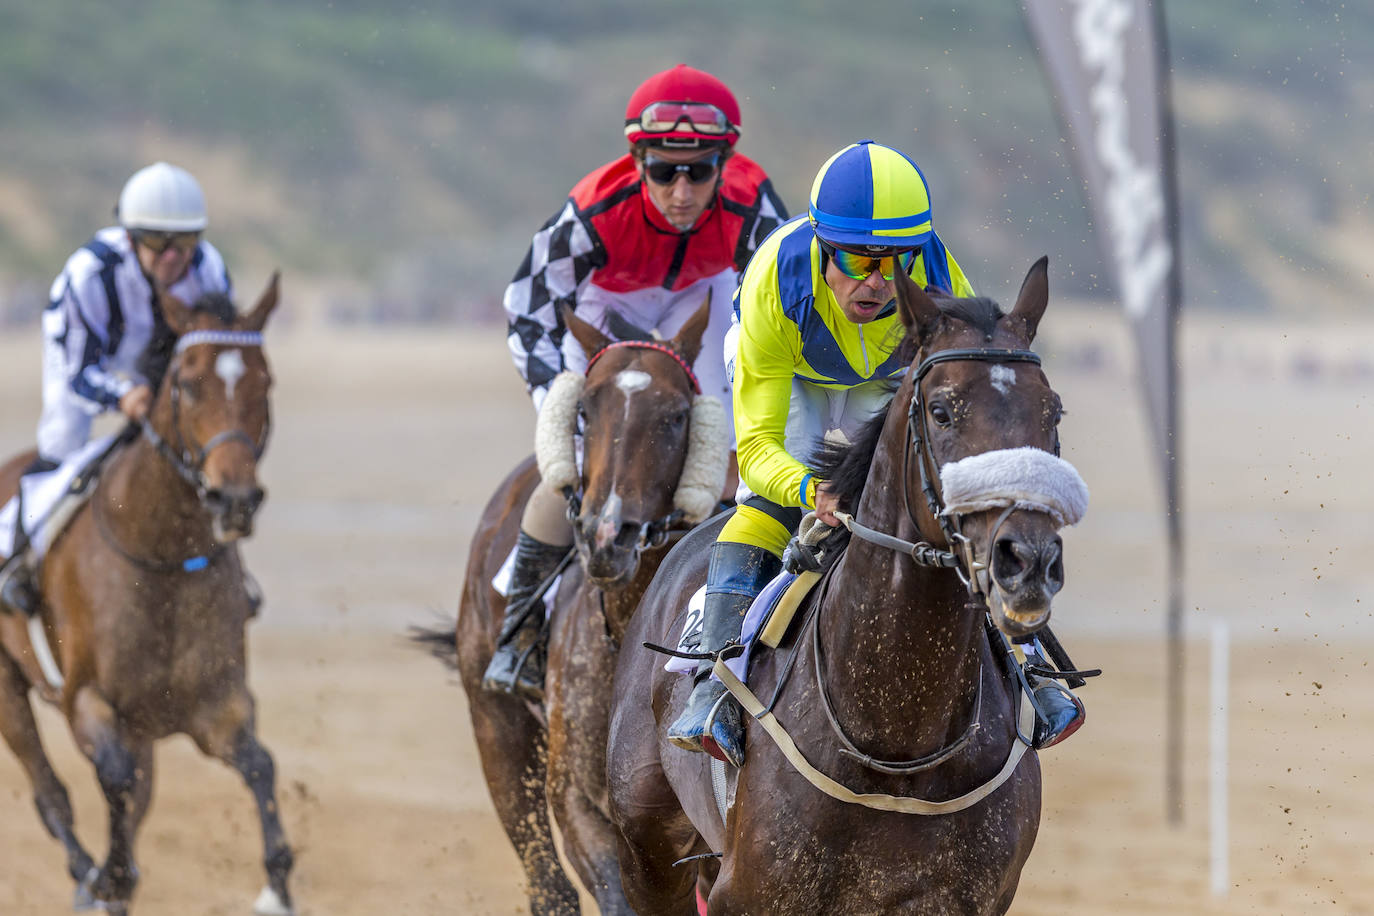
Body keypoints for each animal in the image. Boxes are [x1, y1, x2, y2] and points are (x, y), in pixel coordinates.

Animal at [0, 277, 292, 916]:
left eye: (264, 382)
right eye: (187, 383)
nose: (234, 499)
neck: (160, 558)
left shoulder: (216, 703)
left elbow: (259, 764)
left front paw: (276, 888)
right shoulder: (87, 701)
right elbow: (113, 778)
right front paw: (109, 876)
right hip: (8, 684)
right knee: (51, 793)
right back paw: (88, 874)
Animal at [439, 302, 730, 916]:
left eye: (676, 416)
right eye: (585, 412)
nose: (606, 535)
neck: (624, 630)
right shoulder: (578, 795)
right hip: (496, 727)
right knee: (547, 883)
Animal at [610, 259, 1082, 916]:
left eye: (1052, 412)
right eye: (942, 411)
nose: (1028, 560)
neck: (897, 739)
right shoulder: (749, 892)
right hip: (645, 851)